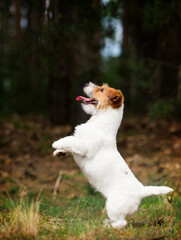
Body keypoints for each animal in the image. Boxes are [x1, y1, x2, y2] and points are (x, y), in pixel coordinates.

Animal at [51, 82, 173, 229]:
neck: (100, 122)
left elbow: (71, 140)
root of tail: (142, 191)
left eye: (102, 89)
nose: (86, 83)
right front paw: (59, 152)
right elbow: (71, 145)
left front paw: (57, 143)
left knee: (121, 223)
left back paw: (107, 226)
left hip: (112, 205)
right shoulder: (79, 145)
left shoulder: (84, 146)